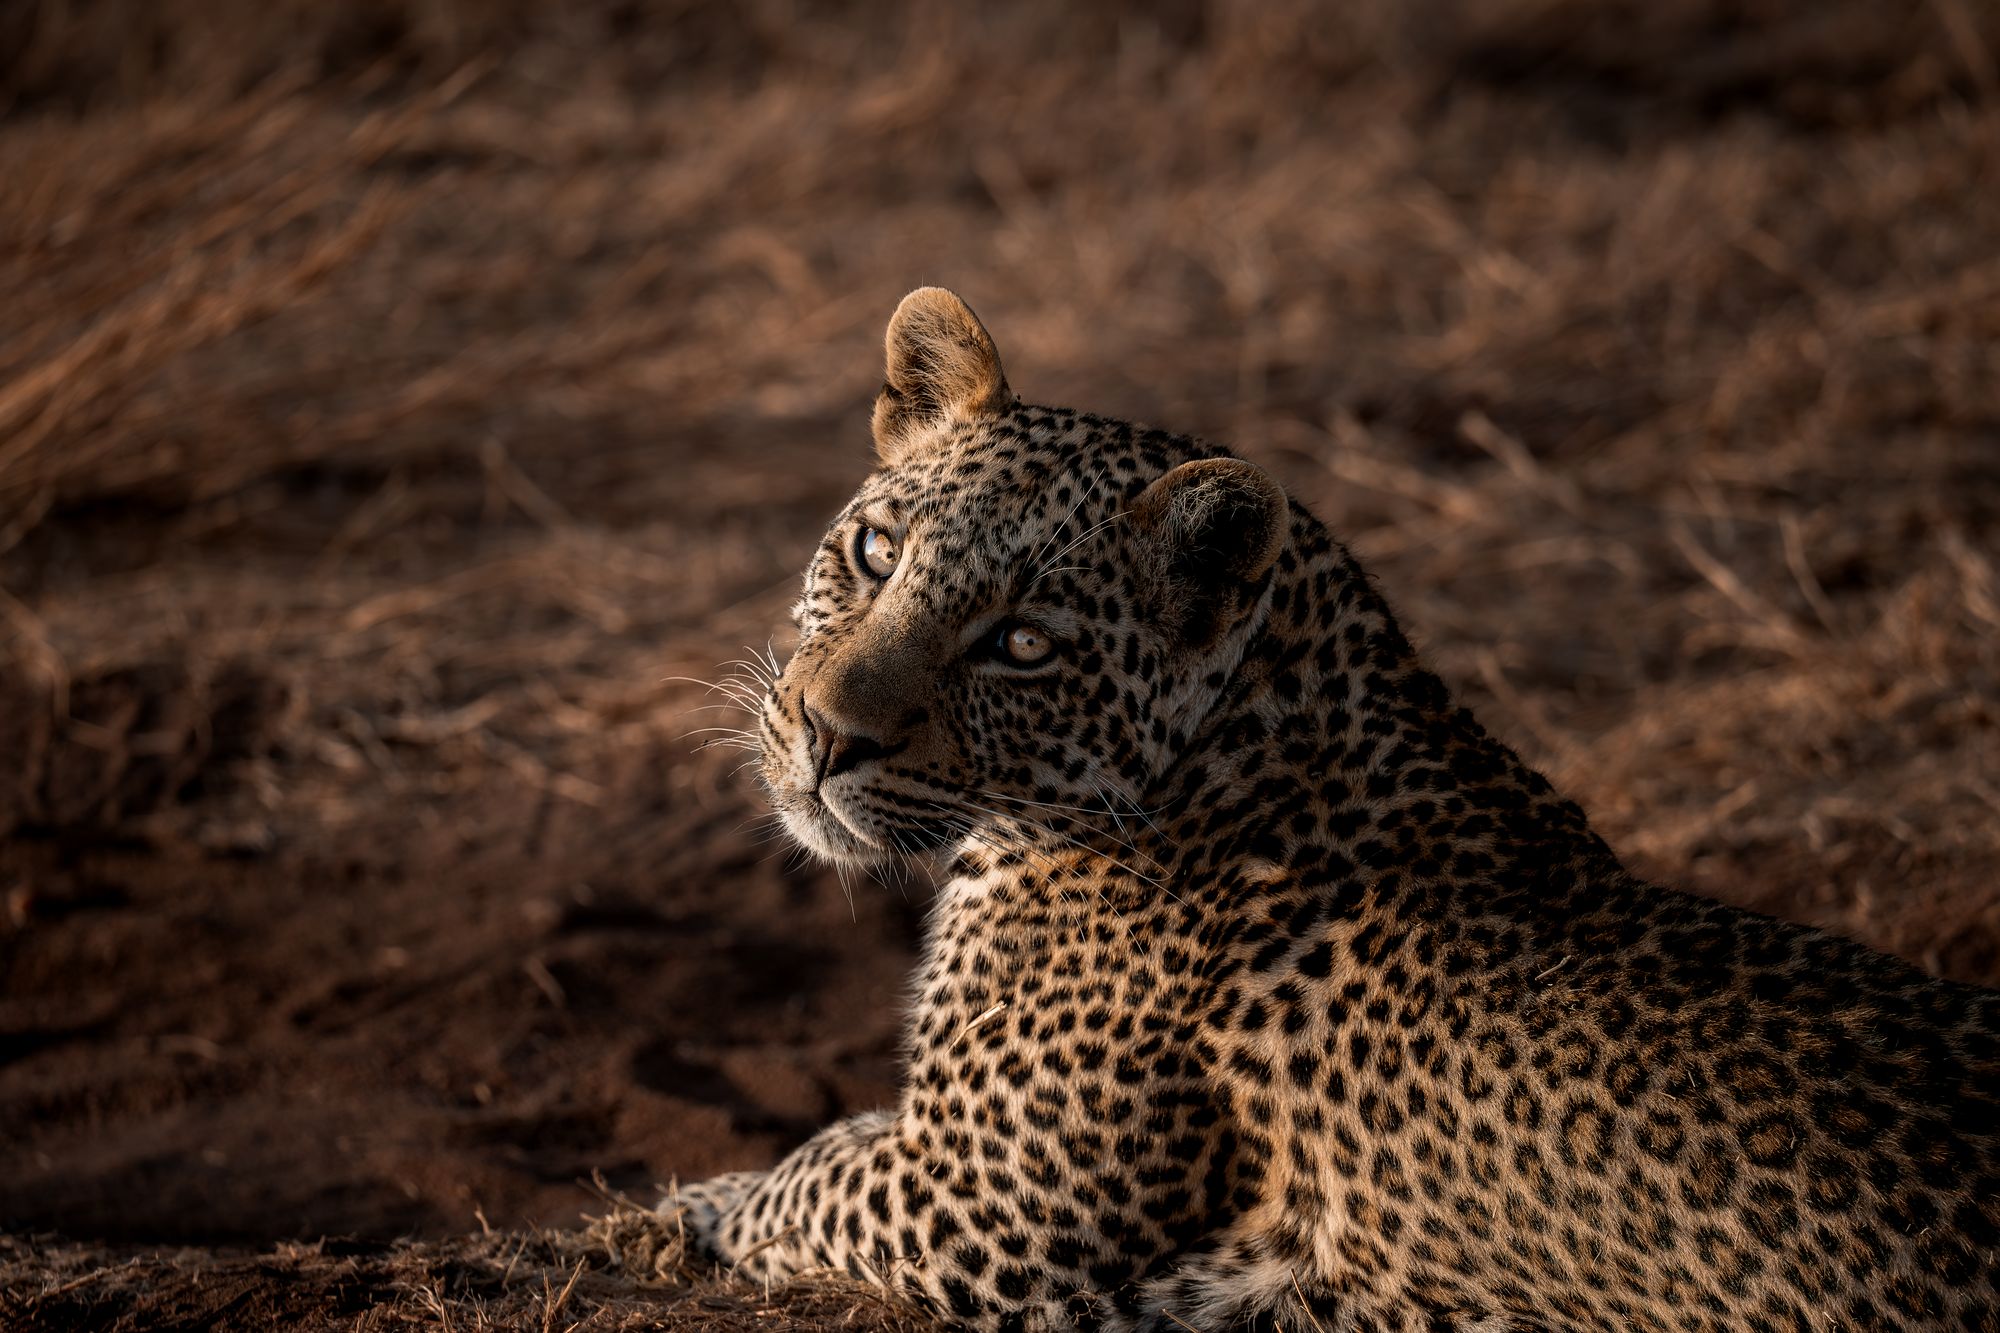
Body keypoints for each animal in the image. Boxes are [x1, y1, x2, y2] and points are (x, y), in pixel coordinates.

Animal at [661, 287, 2000, 1332]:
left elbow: (811, 1175)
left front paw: (695, 1201)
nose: (826, 731)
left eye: (1022, 644)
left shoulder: (983, 1198)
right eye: (876, 551)